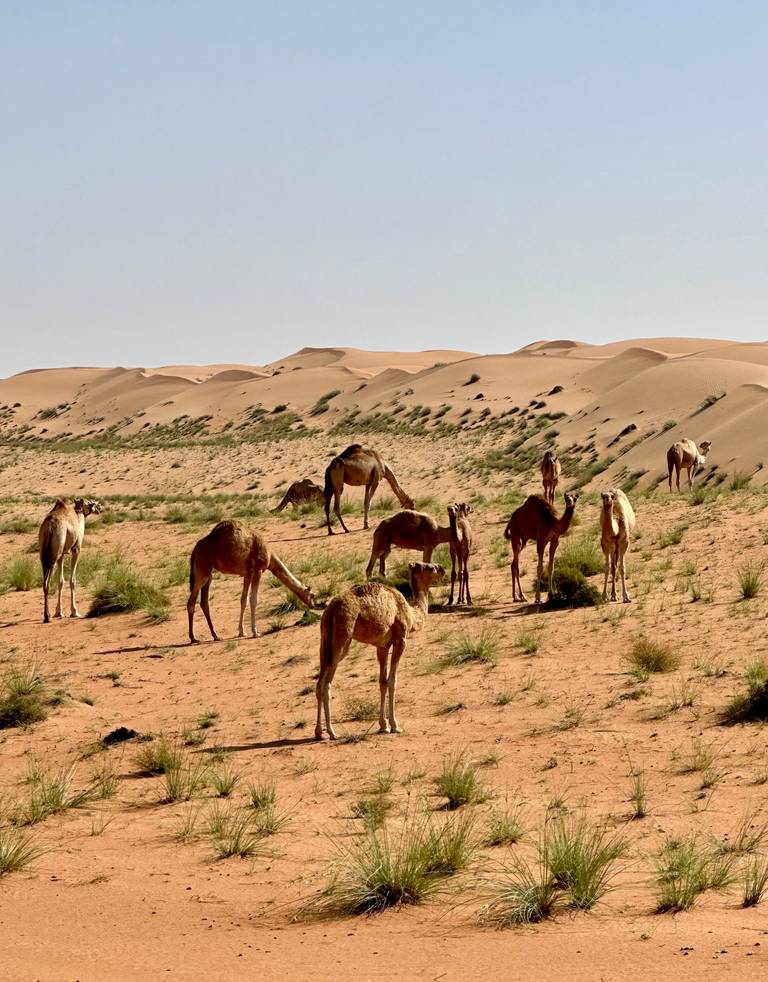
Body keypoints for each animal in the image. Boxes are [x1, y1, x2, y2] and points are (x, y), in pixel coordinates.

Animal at [38, 496, 101, 628]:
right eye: (90, 503)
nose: (99, 507)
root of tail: (49, 527)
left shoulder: (62, 554)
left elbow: (61, 581)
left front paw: (59, 612)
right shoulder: (76, 549)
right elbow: (73, 580)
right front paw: (74, 612)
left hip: (43, 554)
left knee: (44, 582)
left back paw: (47, 615)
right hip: (54, 553)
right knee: (47, 583)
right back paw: (47, 617)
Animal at [187, 520, 316, 648]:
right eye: (312, 595)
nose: (313, 605)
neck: (269, 555)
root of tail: (195, 550)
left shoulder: (247, 574)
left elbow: (243, 600)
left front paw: (242, 632)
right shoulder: (258, 570)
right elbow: (253, 600)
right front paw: (255, 632)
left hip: (208, 574)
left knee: (204, 602)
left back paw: (215, 636)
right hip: (202, 572)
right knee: (191, 602)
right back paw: (193, 638)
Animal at [314, 556, 444, 740]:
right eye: (430, 567)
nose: (442, 569)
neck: (411, 614)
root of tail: (330, 611)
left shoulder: (382, 646)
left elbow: (382, 682)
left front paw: (383, 726)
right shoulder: (401, 640)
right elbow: (392, 681)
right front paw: (395, 726)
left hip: (324, 642)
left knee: (319, 682)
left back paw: (318, 732)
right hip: (342, 637)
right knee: (326, 683)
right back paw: (332, 732)